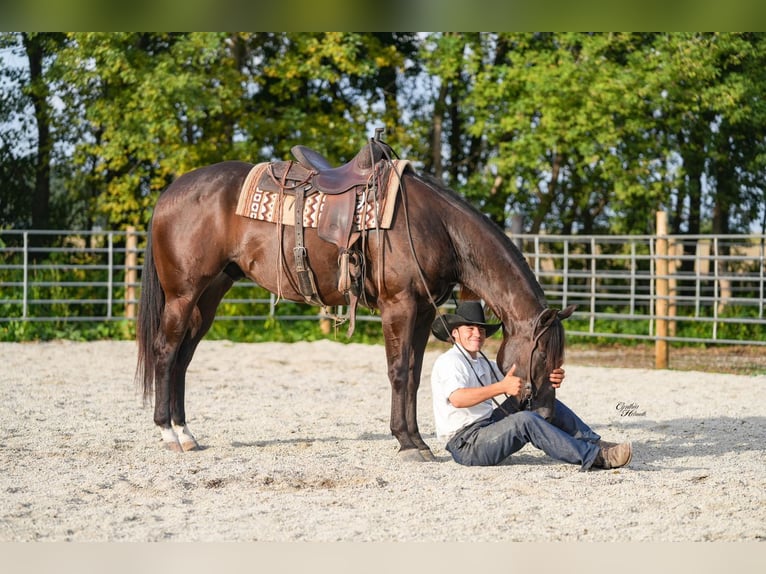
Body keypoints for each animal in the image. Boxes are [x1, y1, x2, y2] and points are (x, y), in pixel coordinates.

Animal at [135, 138, 576, 461]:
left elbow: (414, 373)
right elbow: (398, 372)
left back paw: (187, 432)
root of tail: (171, 192)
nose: (545, 413)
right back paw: (168, 432)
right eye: (541, 355)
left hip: (210, 294)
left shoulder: (420, 312)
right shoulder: (399, 307)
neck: (437, 226)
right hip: (183, 294)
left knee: (183, 358)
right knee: (165, 351)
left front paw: (416, 440)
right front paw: (406, 442)